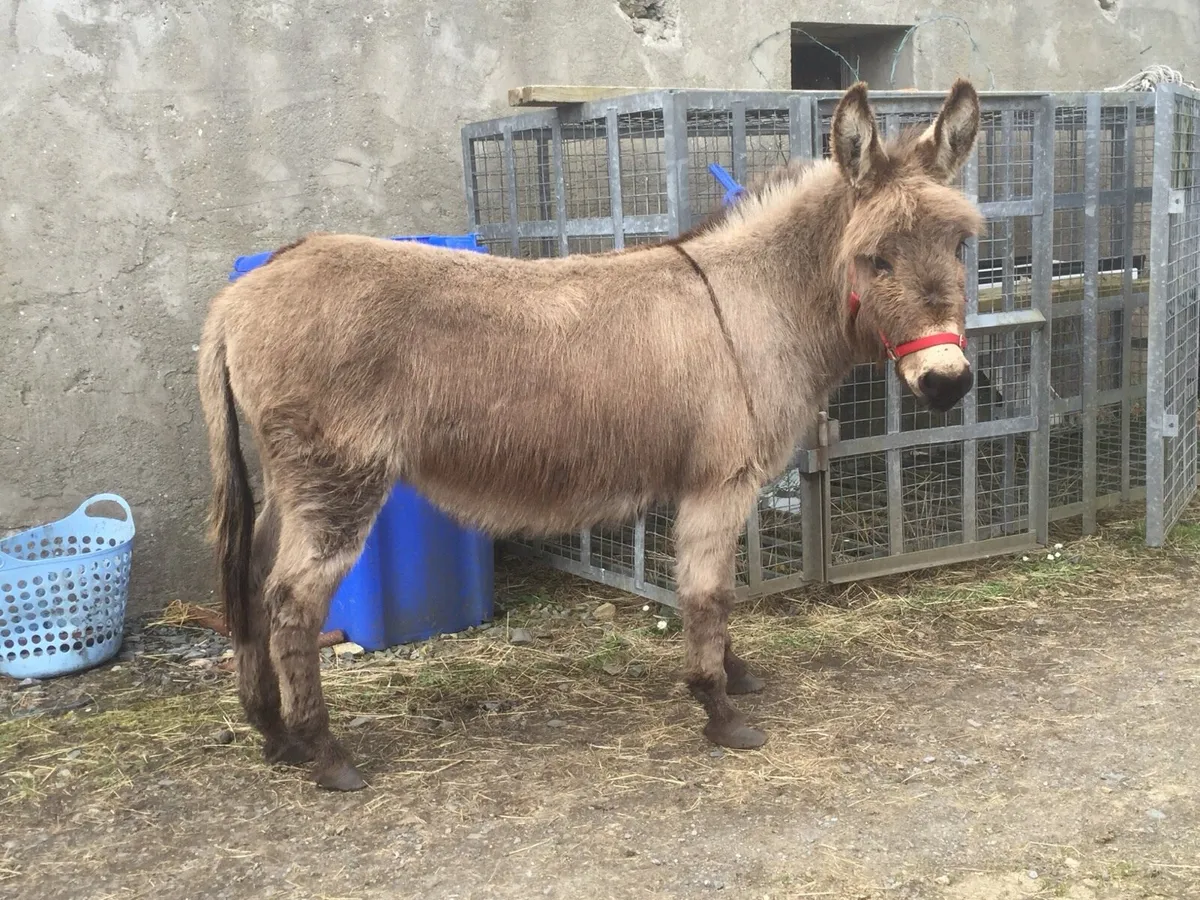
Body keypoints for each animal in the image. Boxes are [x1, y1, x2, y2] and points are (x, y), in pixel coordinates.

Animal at [197, 79, 985, 791]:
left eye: (959, 246)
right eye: (876, 258)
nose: (948, 382)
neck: (756, 301)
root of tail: (239, 293)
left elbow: (713, 588)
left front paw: (733, 674)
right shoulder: (720, 481)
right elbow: (709, 593)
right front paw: (721, 711)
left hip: (291, 479)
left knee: (253, 578)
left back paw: (272, 734)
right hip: (339, 479)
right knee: (293, 601)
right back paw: (325, 754)